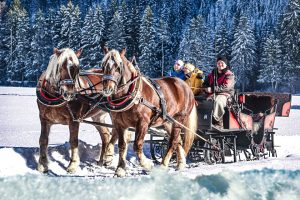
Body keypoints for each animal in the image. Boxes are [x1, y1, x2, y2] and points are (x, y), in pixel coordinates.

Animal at [100, 47, 197, 177]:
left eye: (118, 67)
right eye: (103, 65)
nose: (107, 89)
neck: (131, 94)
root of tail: (186, 86)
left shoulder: (143, 122)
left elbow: (137, 145)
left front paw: (148, 165)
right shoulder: (119, 124)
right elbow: (122, 145)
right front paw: (120, 169)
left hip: (179, 119)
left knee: (173, 141)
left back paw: (163, 165)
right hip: (167, 121)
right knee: (178, 141)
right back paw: (181, 163)